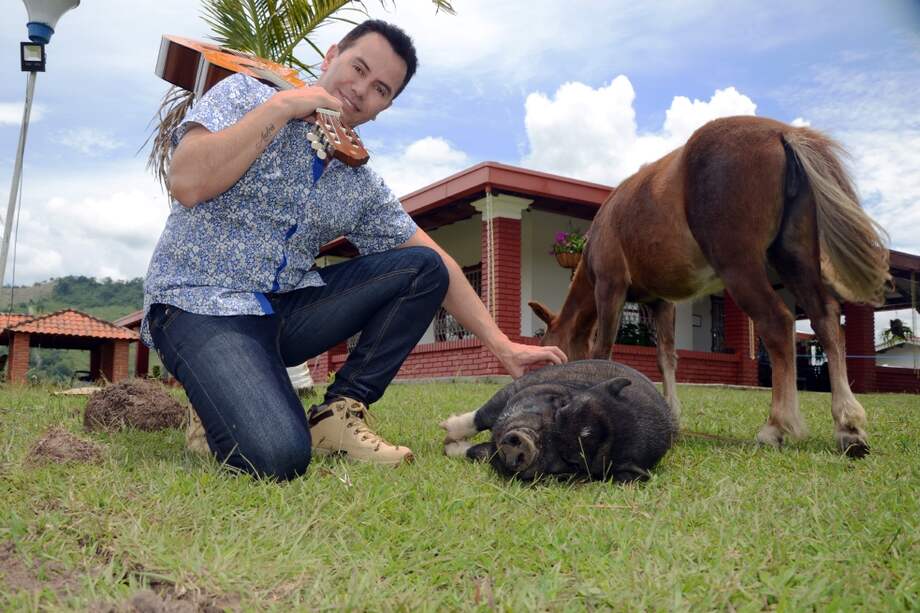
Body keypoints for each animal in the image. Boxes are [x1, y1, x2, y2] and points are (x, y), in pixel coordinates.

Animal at [440, 360, 677, 482]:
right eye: (561, 408)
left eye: (572, 462)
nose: (526, 443)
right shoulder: (522, 388)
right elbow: (482, 415)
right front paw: (446, 430)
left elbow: (478, 453)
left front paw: (449, 448)